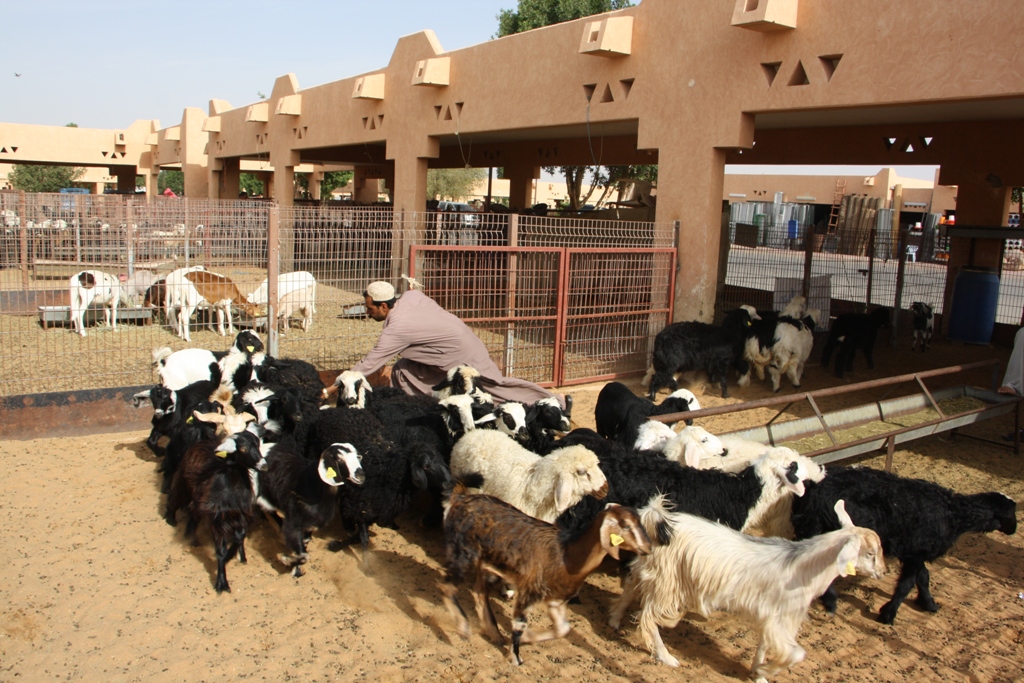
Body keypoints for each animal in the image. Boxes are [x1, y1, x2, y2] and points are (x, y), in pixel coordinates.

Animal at [438, 485, 647, 667]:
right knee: (446, 585)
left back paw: (494, 633)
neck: (566, 553)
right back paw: (464, 628)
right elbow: (519, 626)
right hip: (464, 554)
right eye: (625, 525)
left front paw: (529, 638)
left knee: (479, 593)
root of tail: (459, 499)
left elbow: (562, 630)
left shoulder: (555, 600)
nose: (647, 547)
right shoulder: (529, 591)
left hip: (487, 564)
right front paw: (515, 657)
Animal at [610, 497, 884, 683]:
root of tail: (657, 518)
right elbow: (796, 653)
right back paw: (666, 656)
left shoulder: (769, 615)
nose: (882, 573)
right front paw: (765, 670)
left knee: (631, 584)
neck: (803, 566)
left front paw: (758, 673)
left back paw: (615, 620)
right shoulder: (781, 617)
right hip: (667, 580)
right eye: (870, 553)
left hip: (651, 568)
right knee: (648, 617)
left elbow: (763, 645)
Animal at [790, 471, 1015, 626]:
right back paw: (829, 601)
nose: (1014, 530)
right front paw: (888, 614)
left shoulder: (915, 552)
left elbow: (923, 577)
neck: (954, 514)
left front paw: (928, 603)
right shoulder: (916, 551)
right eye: (1011, 513)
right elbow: (907, 584)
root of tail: (812, 493)